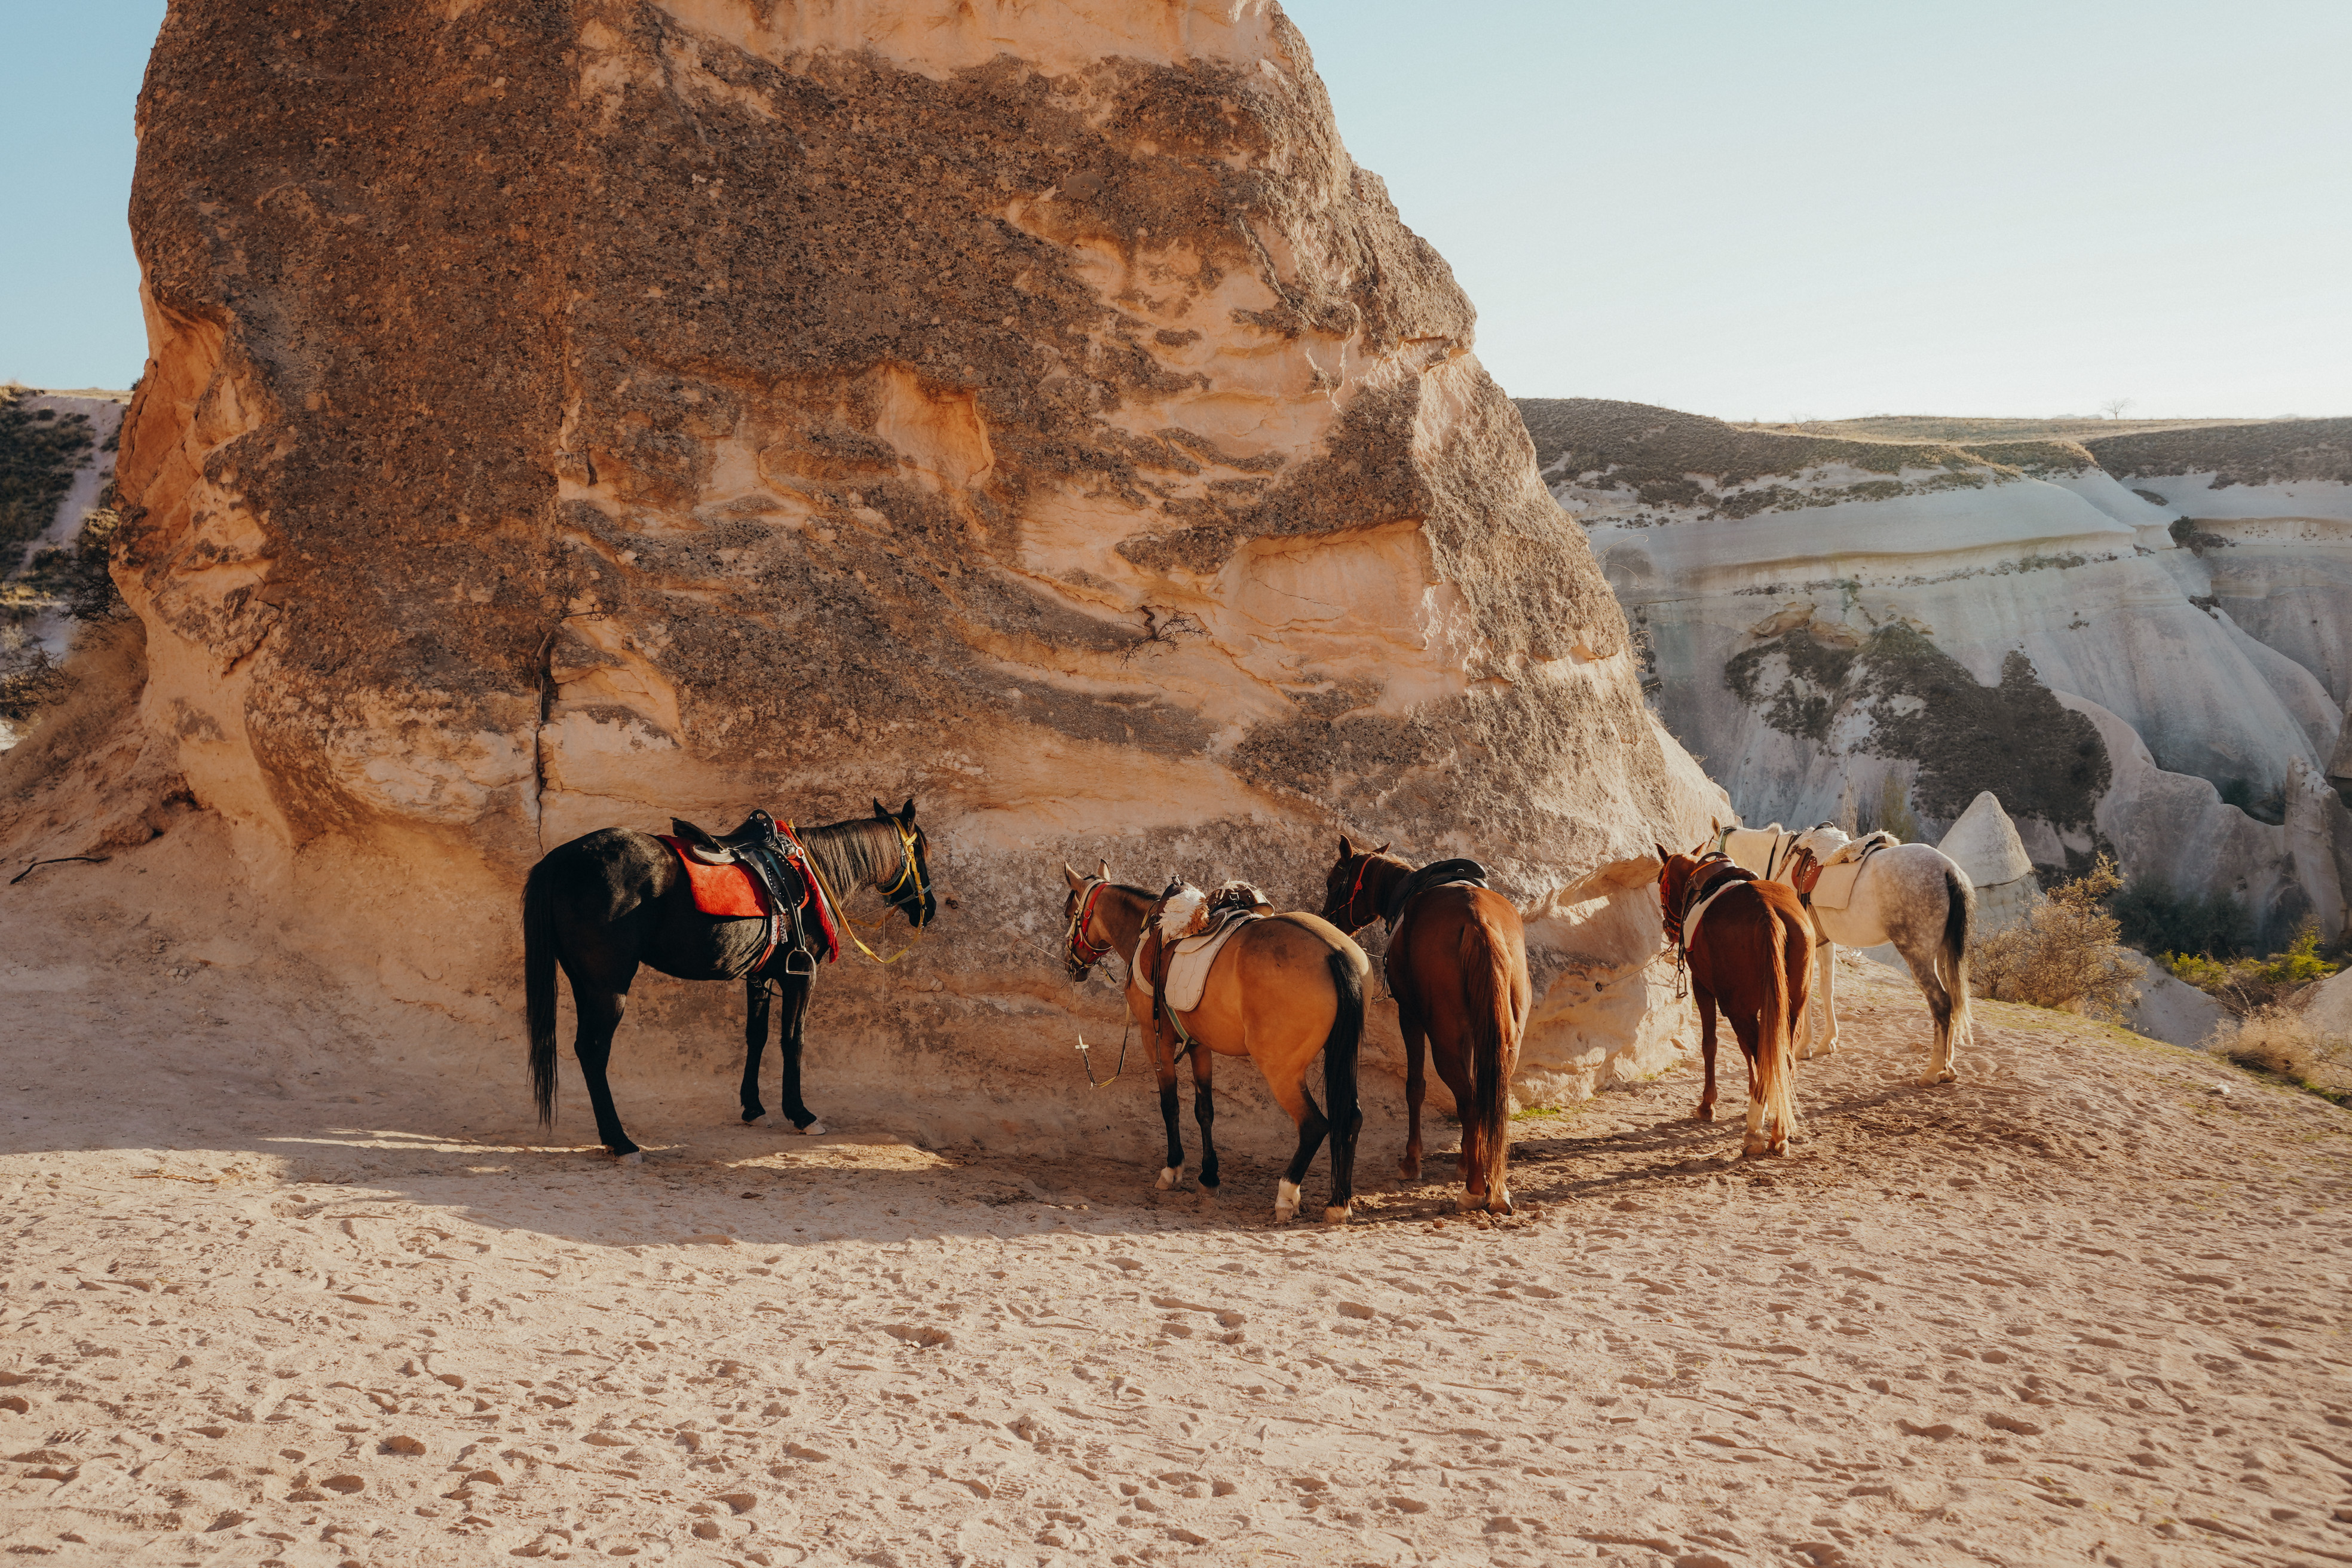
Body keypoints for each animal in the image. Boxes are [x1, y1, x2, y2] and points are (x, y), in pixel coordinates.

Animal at [523, 799, 936, 1161]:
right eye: (922, 854)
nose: (929, 910)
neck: (811, 870)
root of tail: (558, 860)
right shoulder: (801, 975)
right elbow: (793, 1040)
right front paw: (801, 1114)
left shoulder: (759, 976)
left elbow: (757, 1036)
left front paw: (753, 1108)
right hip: (609, 986)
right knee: (594, 1050)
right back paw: (621, 1142)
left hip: (584, 983)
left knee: (584, 1048)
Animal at [1059, 864, 1369, 1223]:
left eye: (1068, 912)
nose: (1071, 965)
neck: (1151, 933)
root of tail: (1334, 952)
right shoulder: (1199, 1044)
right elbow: (1204, 1110)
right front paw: (1209, 1176)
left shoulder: (1156, 1039)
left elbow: (1170, 1106)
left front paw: (1173, 1170)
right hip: (1342, 1056)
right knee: (1352, 1117)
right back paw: (1339, 1203)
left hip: (1282, 1070)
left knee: (1314, 1125)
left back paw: (1287, 1196)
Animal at [1318, 837, 1530, 1215]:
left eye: (1333, 881)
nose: (1329, 920)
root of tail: (1479, 920)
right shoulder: (1472, 1033)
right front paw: (1466, 1157)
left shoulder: (1410, 1016)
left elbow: (1415, 1086)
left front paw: (1412, 1161)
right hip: (1506, 1038)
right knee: (1489, 1098)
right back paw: (1496, 1184)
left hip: (1442, 1036)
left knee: (1469, 1100)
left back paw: (1475, 1189)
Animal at [1657, 845, 1812, 1156]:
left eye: (1660, 881)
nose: (1669, 927)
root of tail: (1768, 913)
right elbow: (1750, 1049)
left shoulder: (1703, 988)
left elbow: (1710, 1045)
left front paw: (1708, 1105)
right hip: (1792, 1007)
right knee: (1783, 1059)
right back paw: (1779, 1130)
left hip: (1738, 1008)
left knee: (1765, 1057)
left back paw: (1756, 1133)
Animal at [1716, 820, 1972, 1085]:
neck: (1781, 860)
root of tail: (1947, 868)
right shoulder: (1825, 943)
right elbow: (1825, 989)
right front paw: (1826, 1042)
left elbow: (1802, 992)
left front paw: (1802, 1047)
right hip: (1942, 955)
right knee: (1953, 1000)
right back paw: (1948, 1069)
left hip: (1917, 954)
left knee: (1941, 1003)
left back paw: (1933, 1071)